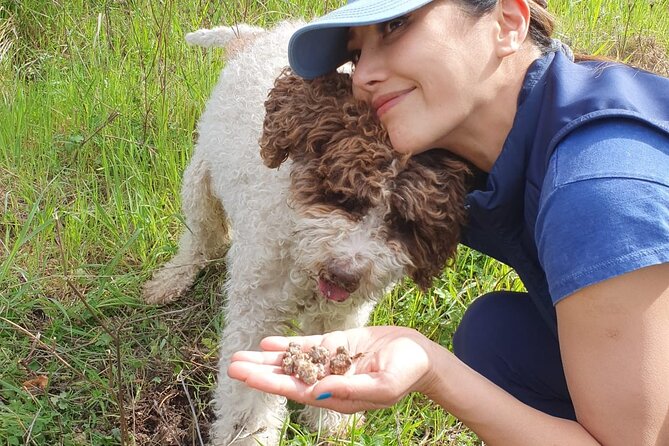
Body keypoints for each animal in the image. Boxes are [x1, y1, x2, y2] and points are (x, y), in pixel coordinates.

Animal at [144, 21, 472, 446]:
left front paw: (333, 421)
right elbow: (248, 397)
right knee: (200, 238)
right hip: (201, 180)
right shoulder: (258, 309)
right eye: (343, 196)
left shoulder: (342, 315)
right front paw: (248, 435)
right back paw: (172, 278)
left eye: (405, 224)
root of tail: (256, 36)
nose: (345, 275)